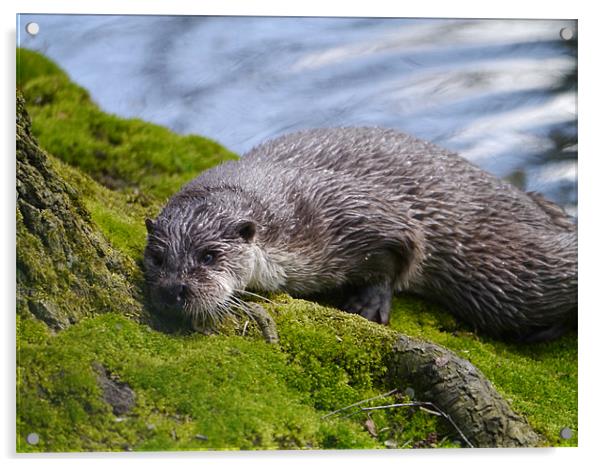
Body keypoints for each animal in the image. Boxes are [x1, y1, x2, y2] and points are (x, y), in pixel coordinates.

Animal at [142, 128, 576, 344]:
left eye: (210, 255)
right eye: (158, 258)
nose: (174, 289)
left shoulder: (348, 207)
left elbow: (401, 251)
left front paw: (369, 303)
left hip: (504, 266)